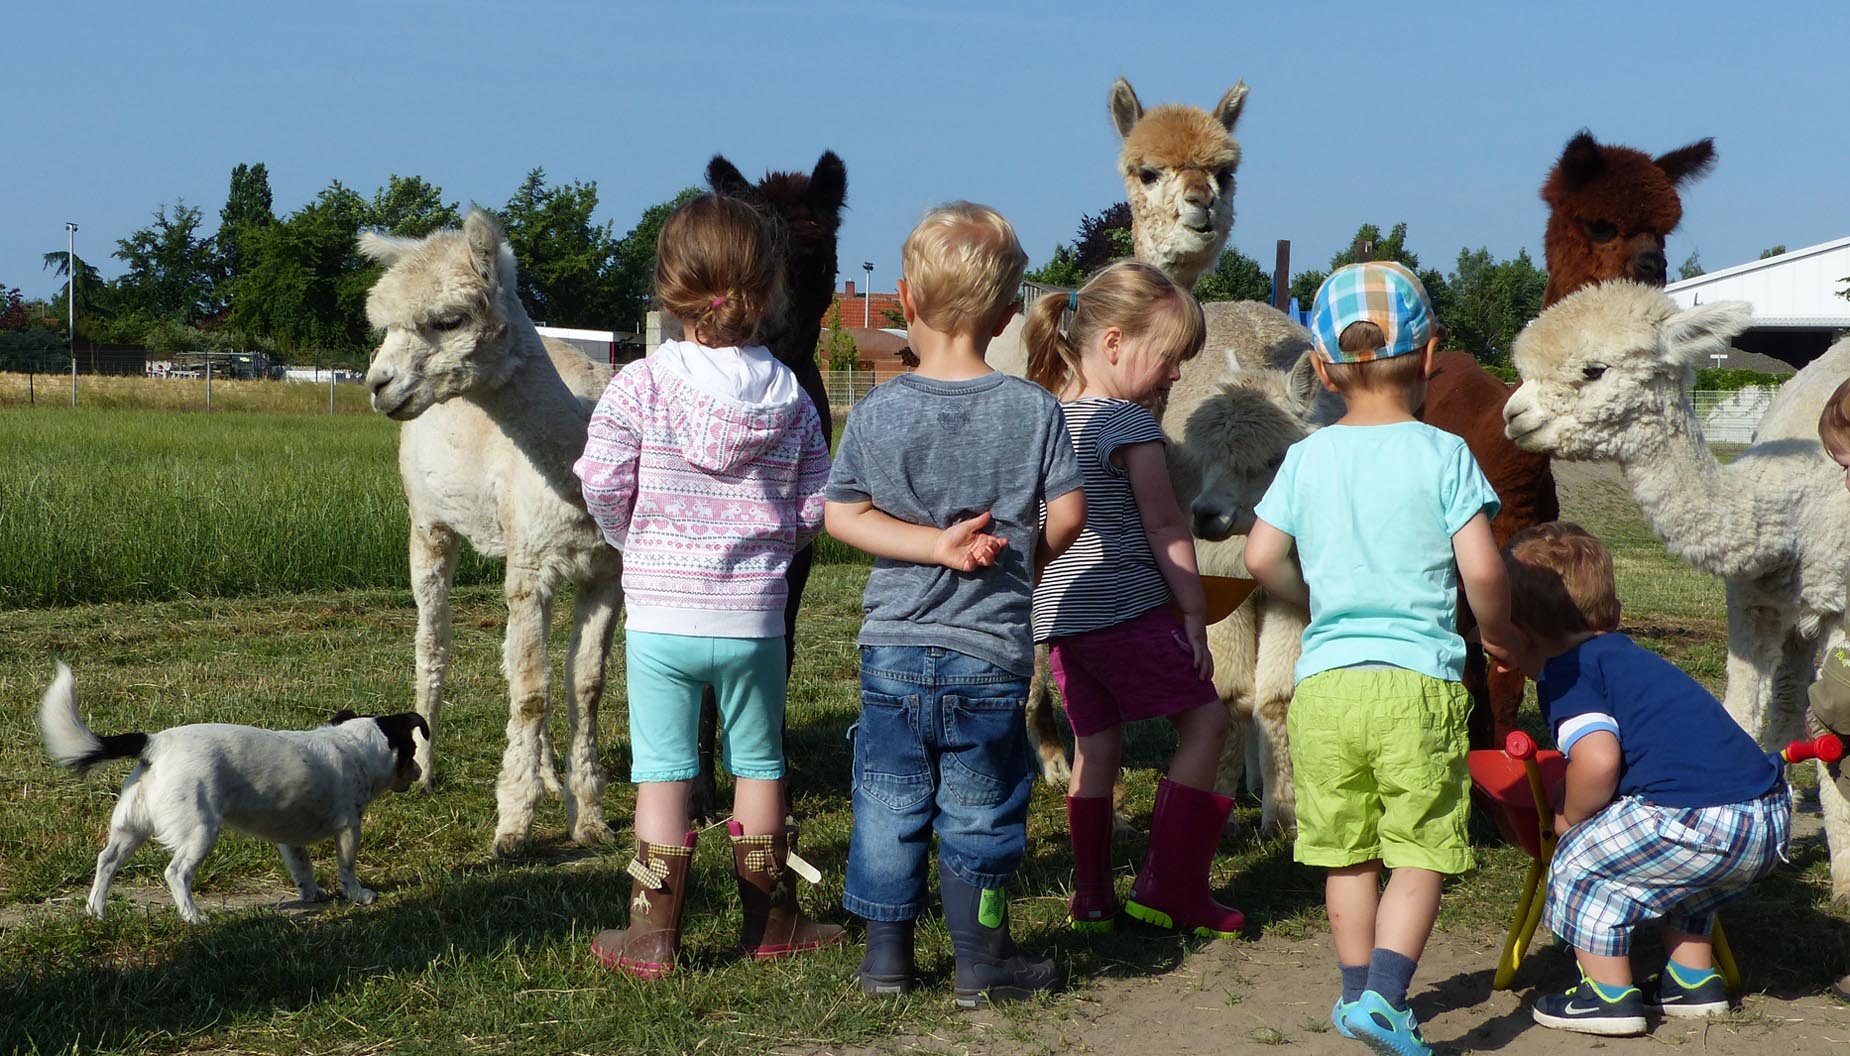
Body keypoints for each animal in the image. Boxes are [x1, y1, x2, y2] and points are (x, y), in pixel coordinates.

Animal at [36, 665, 425, 920]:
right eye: (412, 750)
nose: (421, 772)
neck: (354, 744)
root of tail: (155, 743)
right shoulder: (348, 829)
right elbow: (347, 868)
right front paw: (358, 895)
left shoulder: (290, 841)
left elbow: (303, 870)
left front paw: (312, 895)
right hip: (200, 830)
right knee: (176, 873)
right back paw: (193, 917)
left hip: (131, 827)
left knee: (106, 861)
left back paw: (96, 911)